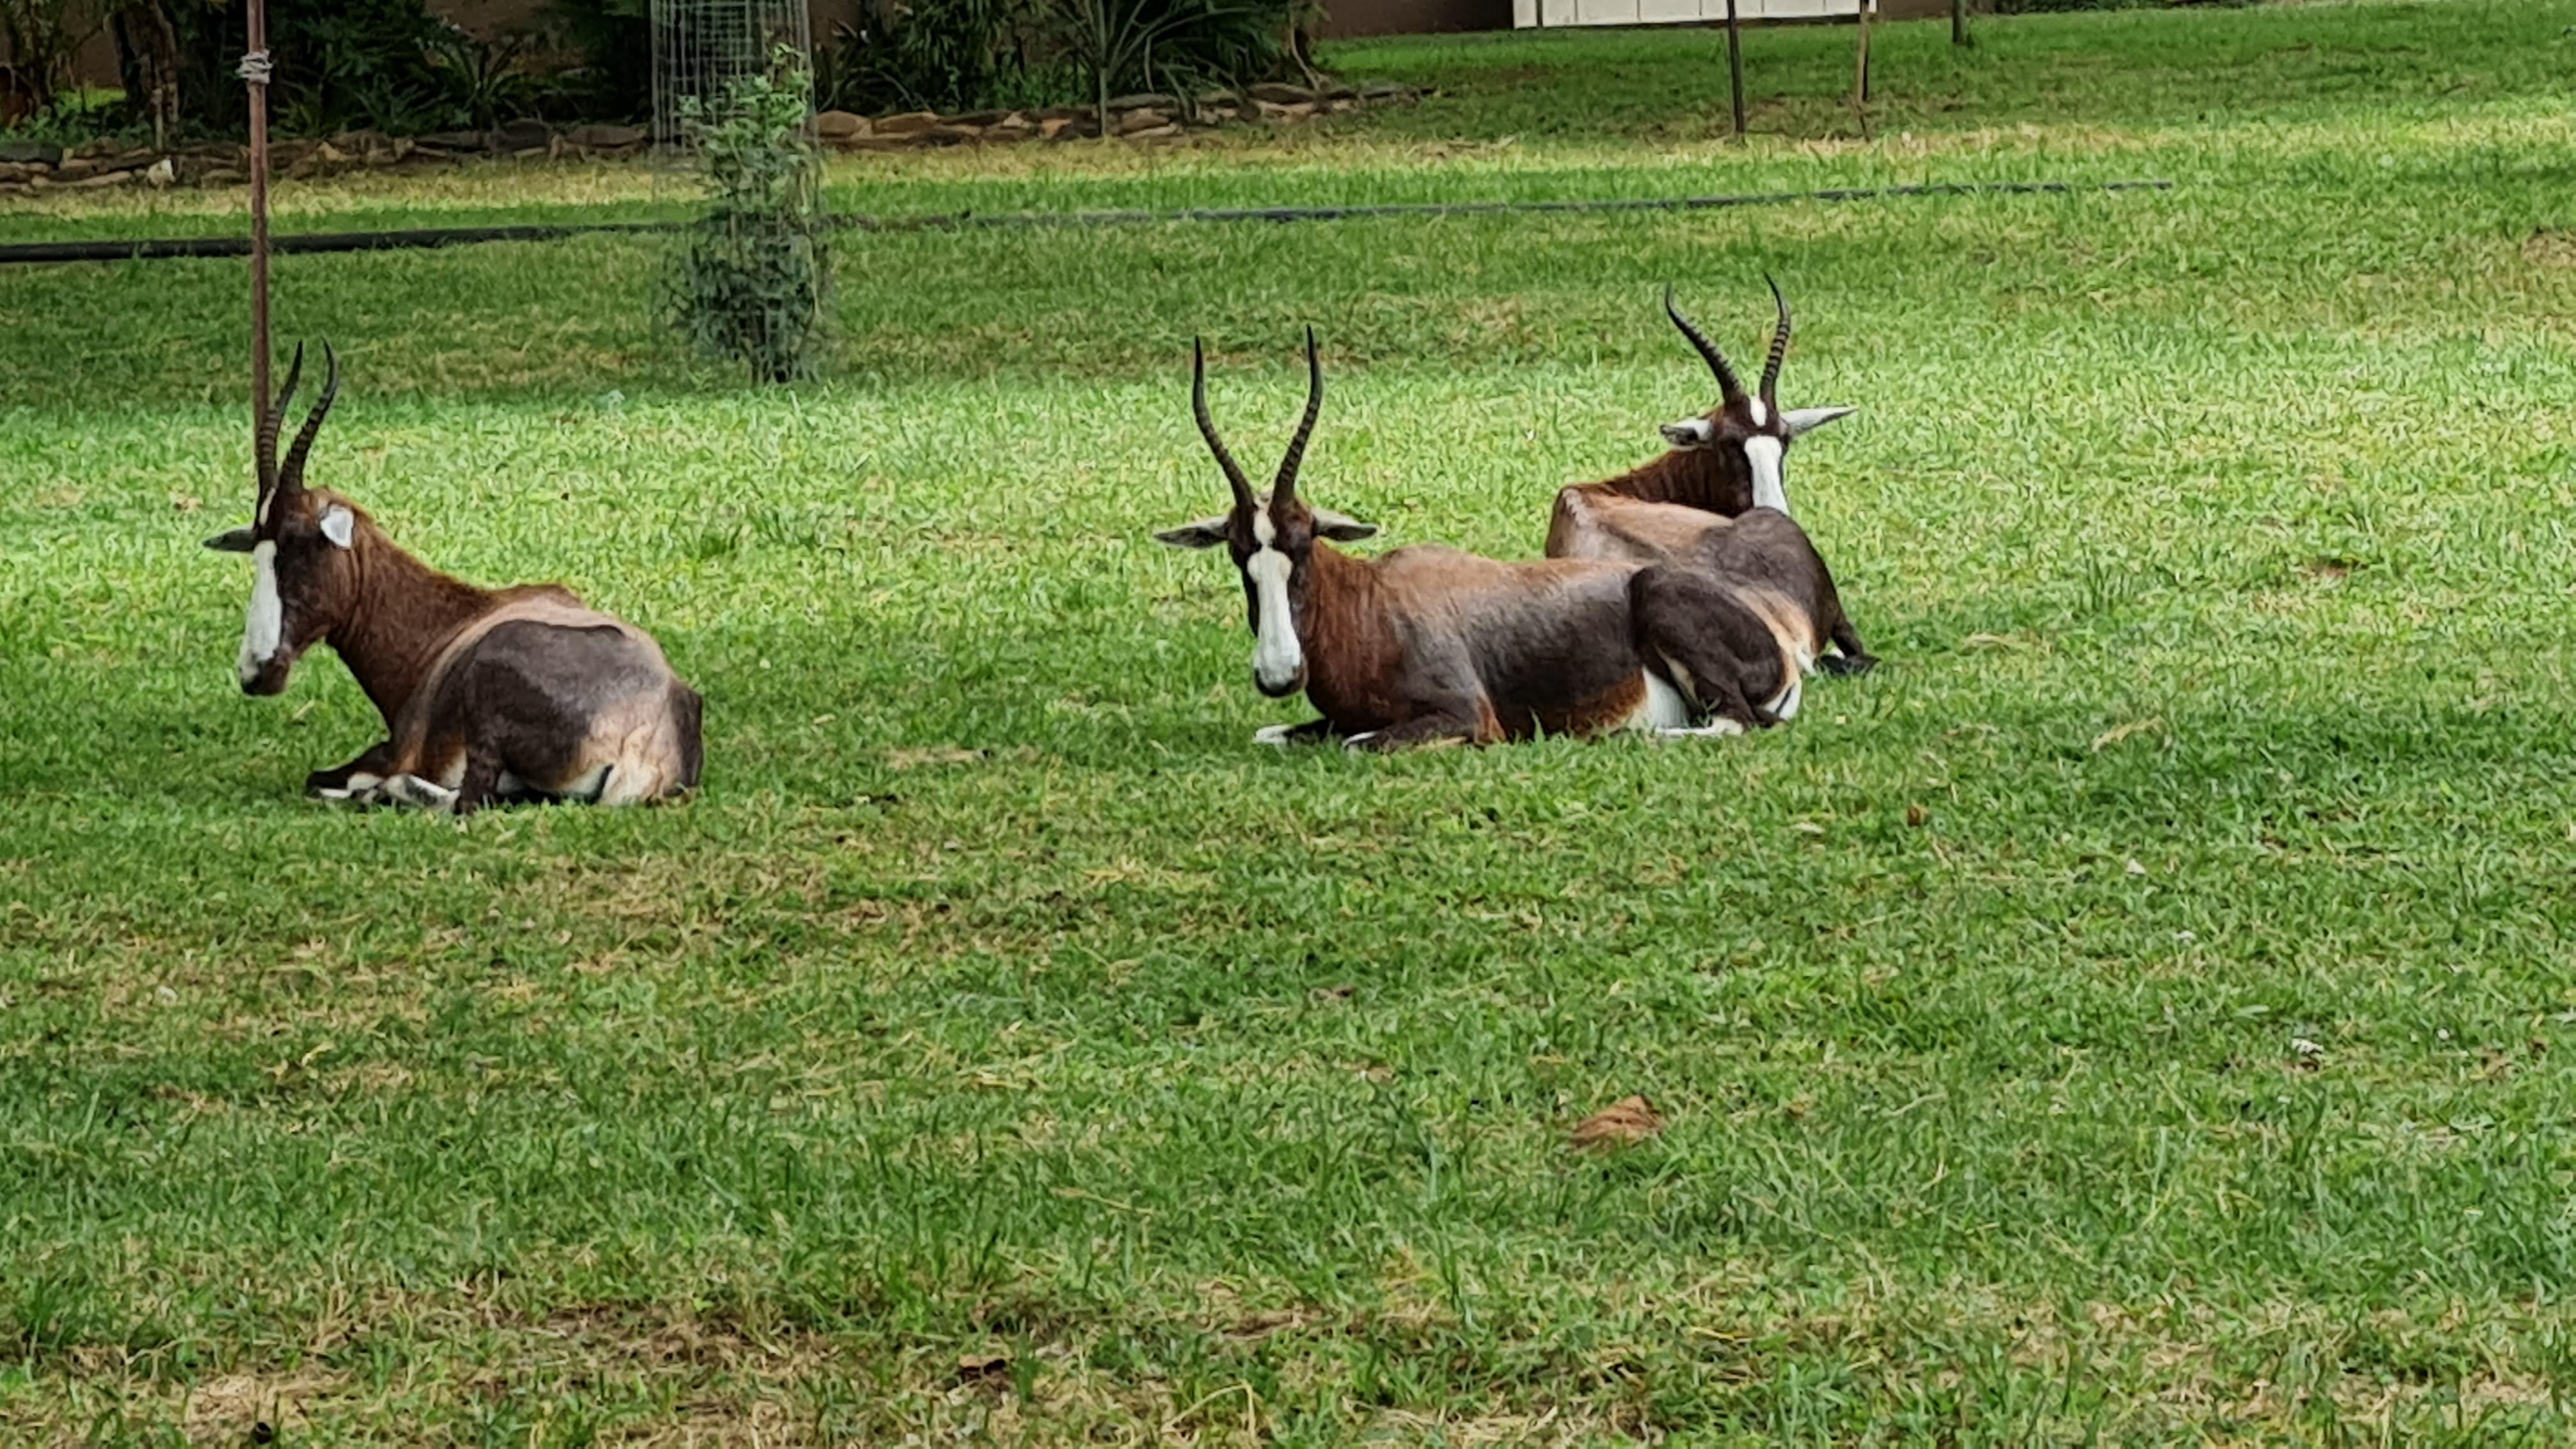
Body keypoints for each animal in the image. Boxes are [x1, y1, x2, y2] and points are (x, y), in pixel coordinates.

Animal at [203, 342, 704, 814]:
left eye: (303, 546)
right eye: (260, 551)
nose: (256, 672)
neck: (453, 624)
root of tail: (650, 739)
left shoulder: (395, 752)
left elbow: (323, 777)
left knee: (465, 799)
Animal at [1154, 330, 1864, 747]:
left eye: (1302, 547)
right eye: (1240, 555)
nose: (1278, 674)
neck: (1372, 602)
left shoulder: (1464, 718)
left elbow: (1357, 743)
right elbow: (1275, 733)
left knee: (1730, 725)